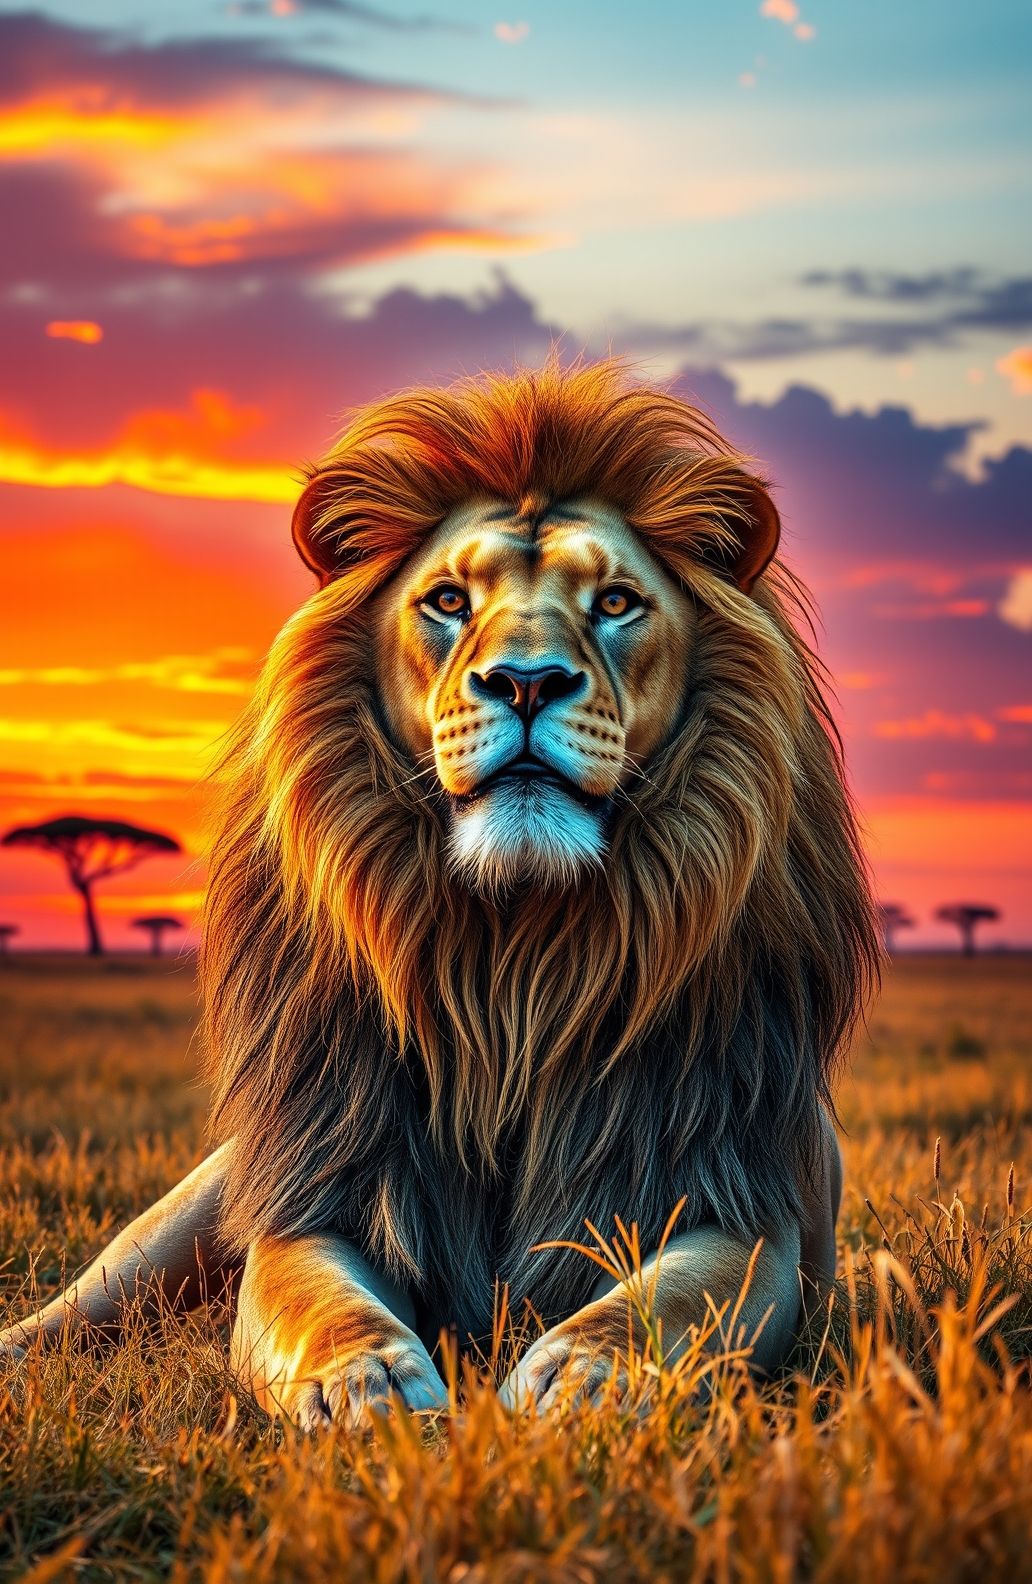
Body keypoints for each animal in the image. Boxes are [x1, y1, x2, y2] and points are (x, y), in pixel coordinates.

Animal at [1, 357, 879, 1426]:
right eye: (450, 601)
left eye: (617, 602)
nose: (528, 681)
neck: (514, 961)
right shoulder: (320, 1189)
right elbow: (318, 1298)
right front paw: (364, 1381)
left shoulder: (739, 1198)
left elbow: (667, 1299)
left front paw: (586, 1376)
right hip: (185, 1220)